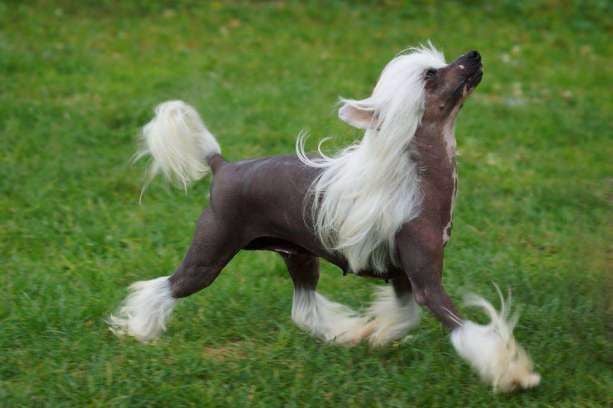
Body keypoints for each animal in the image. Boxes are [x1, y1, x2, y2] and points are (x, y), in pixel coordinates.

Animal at [109, 44, 540, 392]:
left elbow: (403, 315)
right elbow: (465, 330)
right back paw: (139, 330)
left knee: (304, 307)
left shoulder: (403, 276)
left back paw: (347, 332)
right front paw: (513, 373)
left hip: (297, 255)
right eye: (430, 75)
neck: (414, 178)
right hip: (210, 253)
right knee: (164, 287)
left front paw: (377, 334)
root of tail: (222, 166)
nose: (474, 55)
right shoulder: (426, 282)